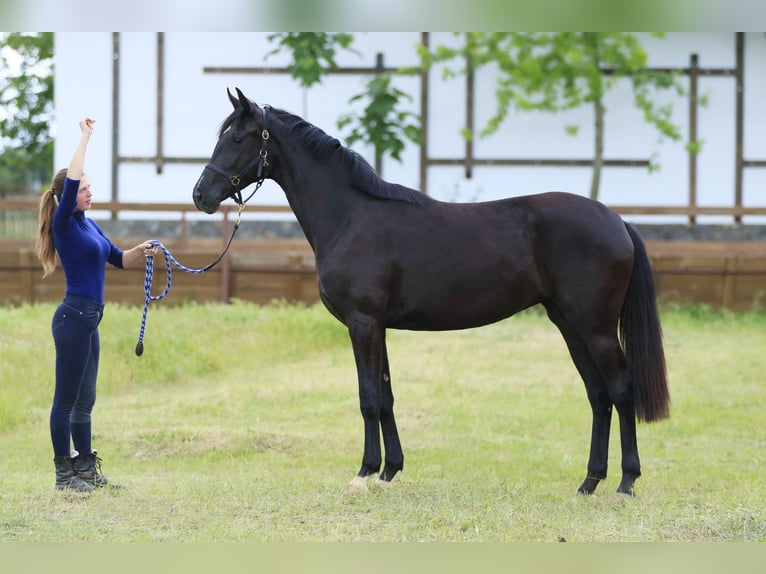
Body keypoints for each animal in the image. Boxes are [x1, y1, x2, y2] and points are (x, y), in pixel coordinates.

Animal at [195, 88, 668, 498]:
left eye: (236, 137)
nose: (201, 195)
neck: (351, 217)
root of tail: (617, 220)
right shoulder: (378, 326)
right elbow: (385, 396)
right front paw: (389, 471)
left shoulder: (363, 323)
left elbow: (368, 397)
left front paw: (364, 473)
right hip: (569, 324)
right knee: (598, 395)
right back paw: (589, 482)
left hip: (596, 327)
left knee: (621, 390)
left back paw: (626, 483)